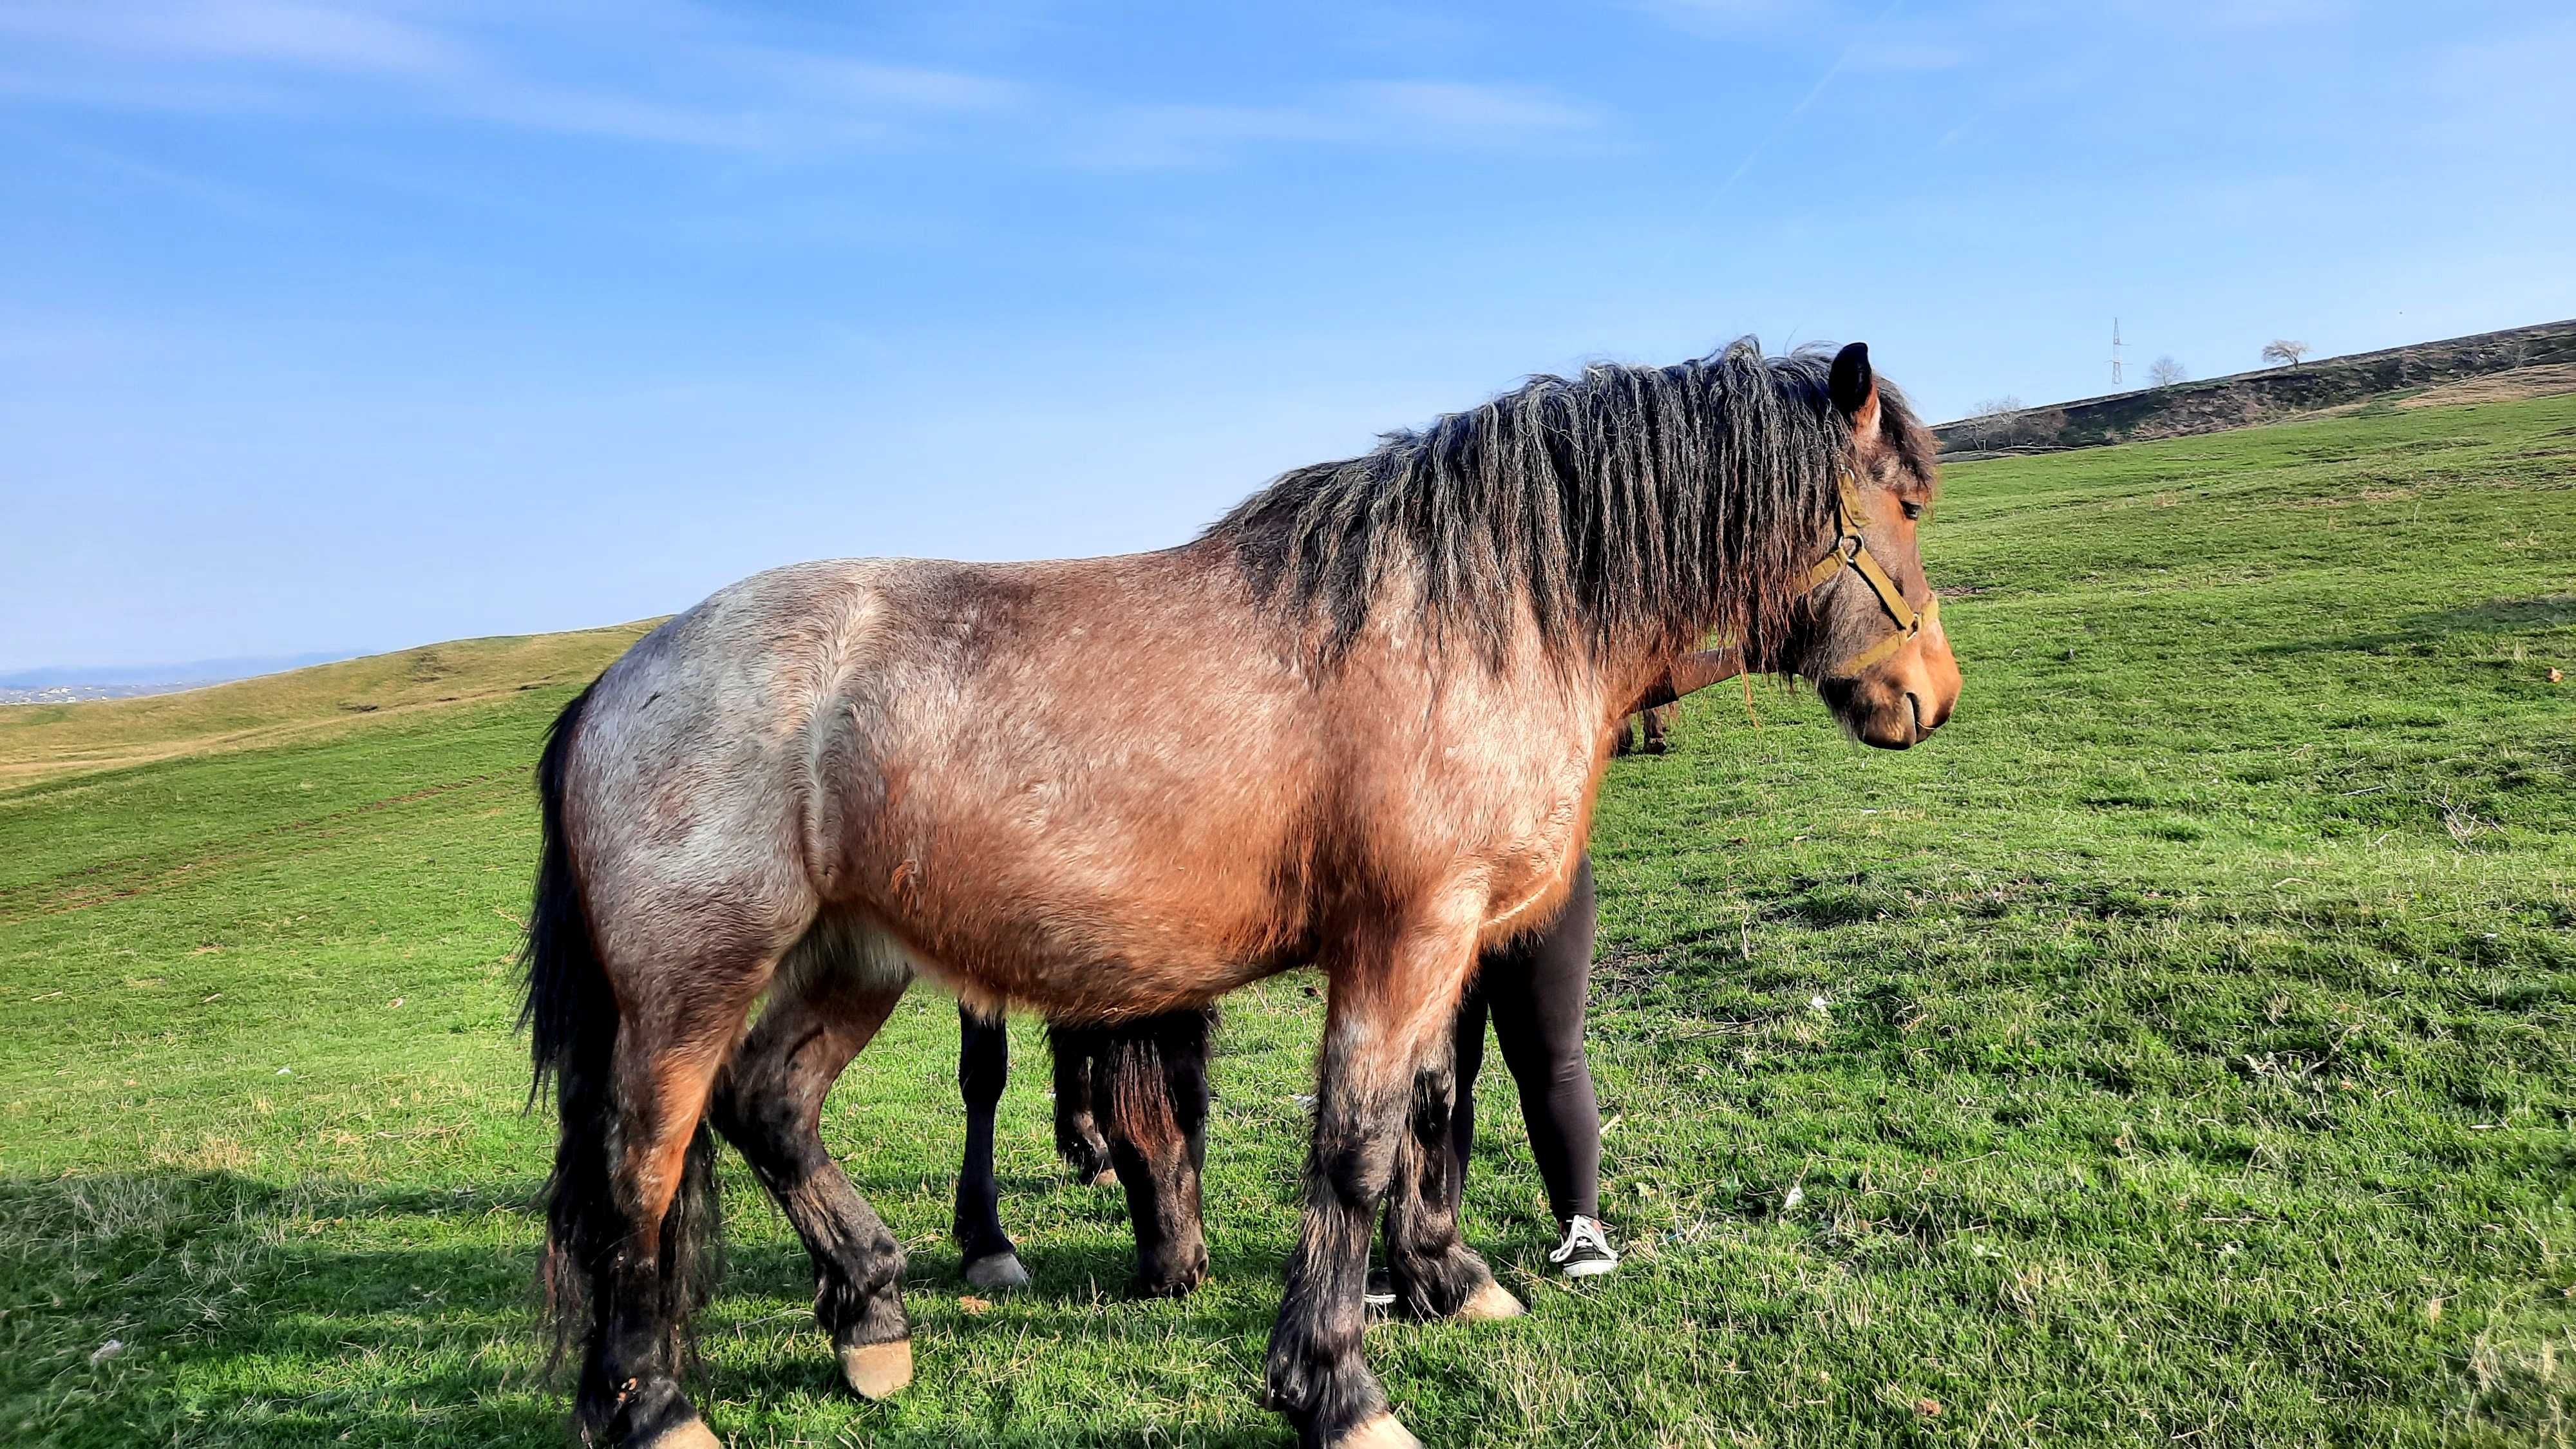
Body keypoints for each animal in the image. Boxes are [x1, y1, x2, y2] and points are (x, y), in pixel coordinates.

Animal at [528, 337, 1968, 1443]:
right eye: (1901, 507)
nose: (1931, 697)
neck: (1468, 624)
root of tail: (618, 680)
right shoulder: (1402, 941)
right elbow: (1356, 1148)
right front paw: (1334, 1387)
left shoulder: (1440, 947)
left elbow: (1430, 1113)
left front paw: (1445, 1278)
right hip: (692, 989)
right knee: (639, 1170)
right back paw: (652, 1407)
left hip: (852, 959)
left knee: (770, 1107)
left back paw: (872, 1315)